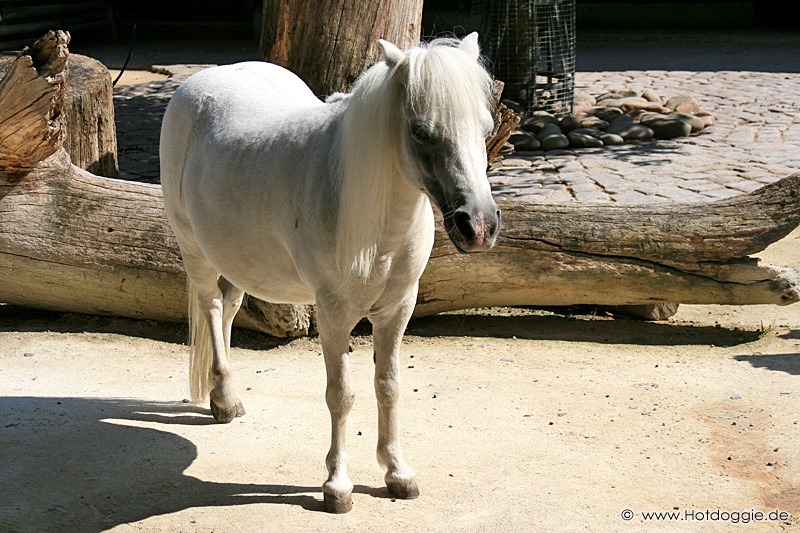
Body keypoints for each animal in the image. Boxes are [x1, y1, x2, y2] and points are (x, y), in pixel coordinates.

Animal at [159, 32, 500, 512]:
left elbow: (389, 386)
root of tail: (206, 78)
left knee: (227, 309)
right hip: (195, 249)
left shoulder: (397, 309)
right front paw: (337, 486)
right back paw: (223, 399)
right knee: (210, 306)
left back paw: (225, 396)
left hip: (238, 260)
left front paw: (398, 473)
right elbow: (341, 395)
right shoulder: (335, 315)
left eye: (486, 129)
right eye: (421, 131)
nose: (480, 226)